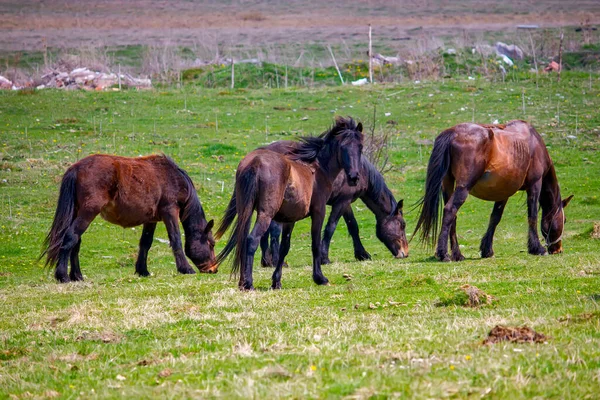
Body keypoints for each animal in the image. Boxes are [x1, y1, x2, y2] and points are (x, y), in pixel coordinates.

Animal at [39, 153, 216, 282]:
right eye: (211, 244)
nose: (213, 269)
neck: (173, 178)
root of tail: (75, 169)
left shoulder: (151, 220)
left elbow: (145, 243)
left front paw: (142, 270)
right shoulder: (170, 211)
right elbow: (176, 239)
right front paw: (185, 268)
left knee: (76, 242)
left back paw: (77, 276)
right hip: (88, 212)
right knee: (71, 237)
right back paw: (63, 276)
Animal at [216, 116, 366, 290]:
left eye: (360, 147)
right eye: (343, 147)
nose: (354, 177)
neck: (317, 169)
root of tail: (255, 162)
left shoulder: (290, 220)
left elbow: (284, 248)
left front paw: (276, 281)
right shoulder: (319, 212)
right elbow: (315, 244)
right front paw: (320, 278)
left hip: (245, 212)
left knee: (242, 241)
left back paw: (242, 282)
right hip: (265, 215)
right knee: (252, 240)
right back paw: (249, 283)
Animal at [258, 141, 408, 266]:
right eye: (402, 224)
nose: (405, 253)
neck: (361, 170)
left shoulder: (345, 202)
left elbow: (353, 226)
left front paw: (362, 254)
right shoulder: (341, 202)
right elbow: (331, 227)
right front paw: (324, 258)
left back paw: (267, 261)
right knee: (274, 229)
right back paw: (277, 261)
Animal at [412, 120, 572, 260]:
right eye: (564, 220)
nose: (558, 249)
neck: (534, 143)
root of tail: (453, 132)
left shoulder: (503, 192)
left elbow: (495, 218)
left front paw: (487, 249)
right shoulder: (535, 185)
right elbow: (532, 216)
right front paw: (537, 248)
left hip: (448, 184)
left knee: (453, 216)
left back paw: (457, 254)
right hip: (463, 187)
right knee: (450, 210)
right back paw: (444, 254)